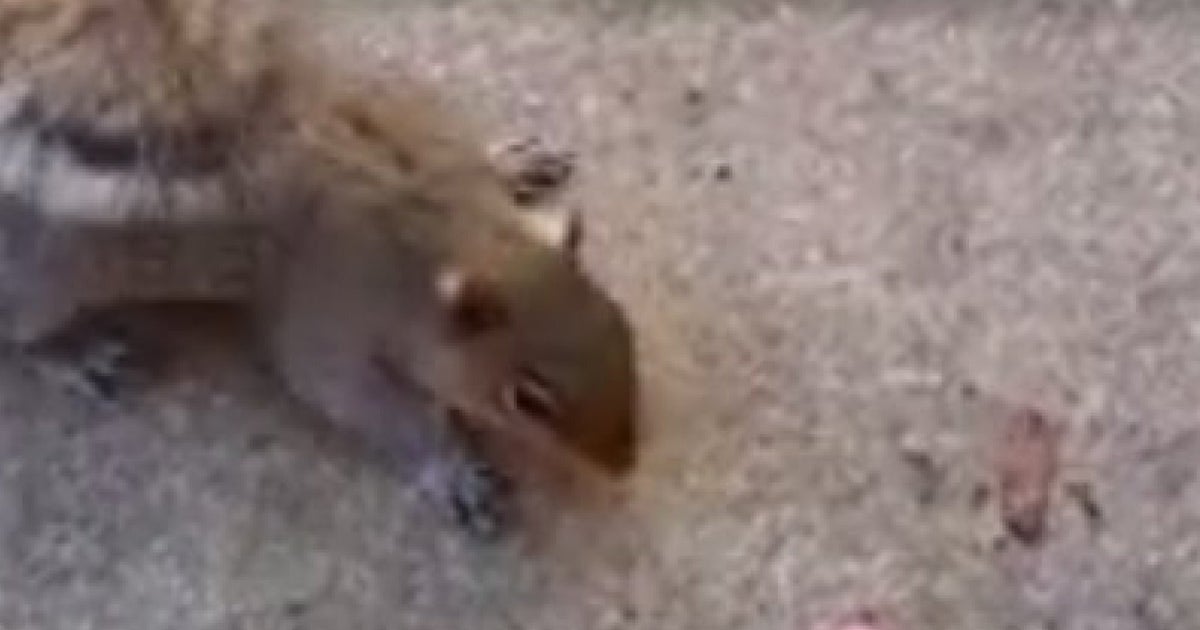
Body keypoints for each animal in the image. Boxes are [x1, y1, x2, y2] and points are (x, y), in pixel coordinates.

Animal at [0, 0, 637, 539]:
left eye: (622, 327)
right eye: (529, 400)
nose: (625, 466)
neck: (432, 220)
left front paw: (511, 162)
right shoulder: (330, 308)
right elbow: (353, 397)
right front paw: (451, 467)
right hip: (44, 279)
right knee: (21, 333)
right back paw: (78, 352)